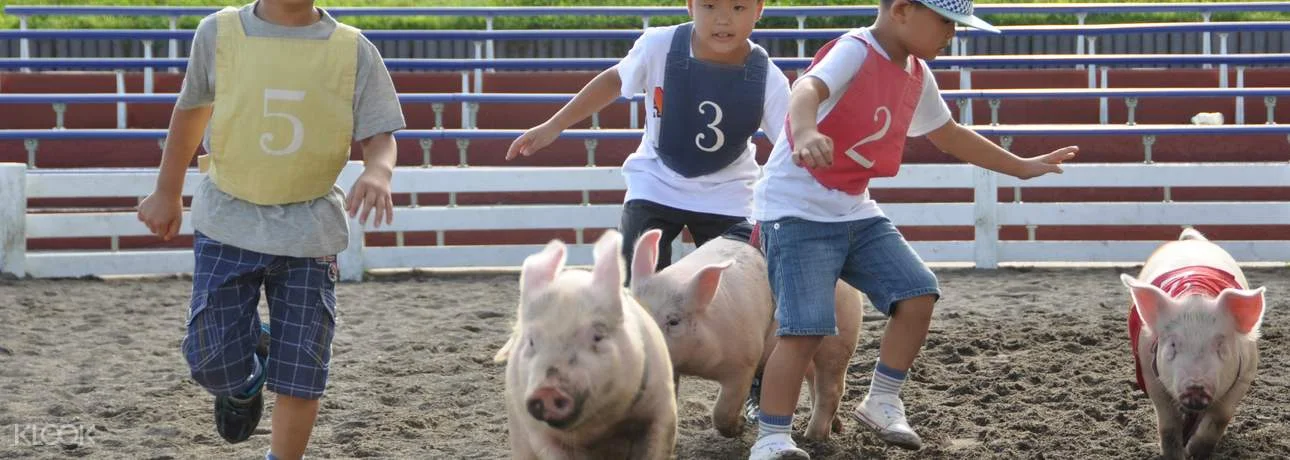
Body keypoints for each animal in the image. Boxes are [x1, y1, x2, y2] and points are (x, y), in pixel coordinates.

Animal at [492, 230, 681, 456]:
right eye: (531, 341)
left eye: (597, 336)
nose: (547, 390)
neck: (597, 431)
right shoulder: (535, 430)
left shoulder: (663, 407)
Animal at [626, 228, 861, 438]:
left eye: (673, 321)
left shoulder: (745, 361)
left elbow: (723, 410)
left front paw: (739, 427)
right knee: (814, 381)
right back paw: (834, 427)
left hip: (841, 337)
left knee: (831, 387)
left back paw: (813, 438)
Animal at [1124, 228, 1264, 456]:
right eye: (1173, 345)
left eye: (1220, 345)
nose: (1196, 388)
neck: (1196, 295)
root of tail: (1188, 241)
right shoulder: (1149, 371)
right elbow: (1168, 424)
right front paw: (1175, 454)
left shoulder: (1247, 372)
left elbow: (1220, 417)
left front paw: (1194, 453)